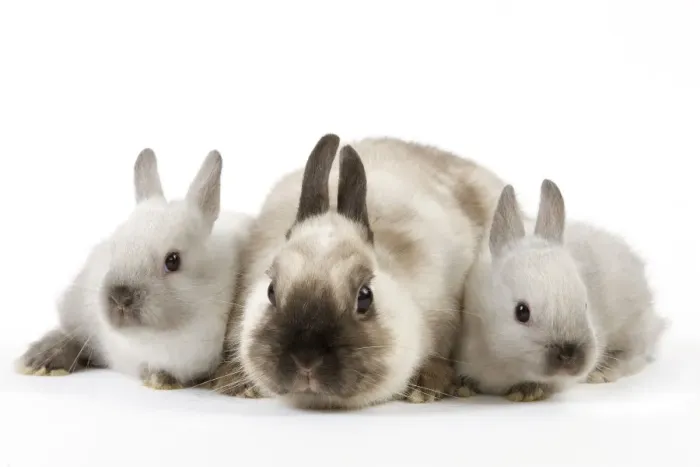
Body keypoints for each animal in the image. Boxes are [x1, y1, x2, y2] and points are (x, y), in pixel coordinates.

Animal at [454, 179, 668, 402]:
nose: (570, 357)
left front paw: (526, 391)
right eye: (522, 312)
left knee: (637, 354)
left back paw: (604, 371)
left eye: (585, 305)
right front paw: (462, 387)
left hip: (635, 326)